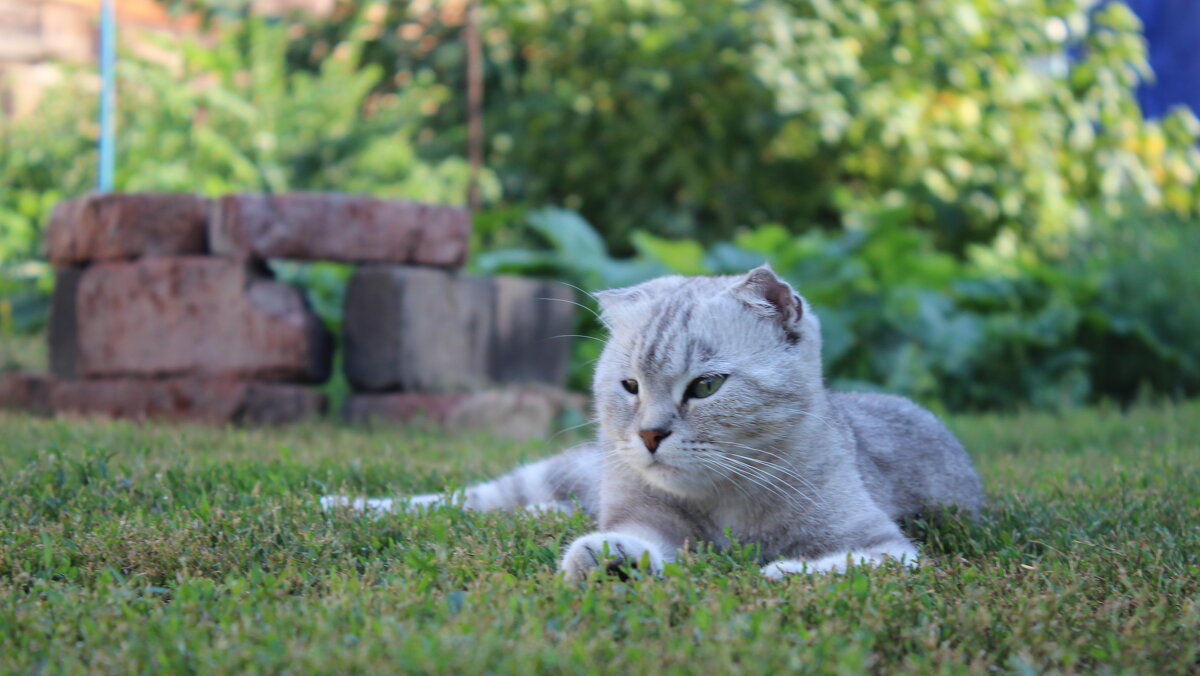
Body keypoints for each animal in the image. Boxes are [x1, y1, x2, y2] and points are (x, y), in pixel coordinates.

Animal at [324, 267, 979, 578]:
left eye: (706, 386)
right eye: (631, 387)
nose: (649, 435)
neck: (723, 498)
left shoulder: (885, 546)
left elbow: (845, 563)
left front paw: (782, 572)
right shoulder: (644, 515)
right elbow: (628, 534)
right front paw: (606, 557)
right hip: (551, 475)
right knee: (462, 499)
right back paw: (341, 503)